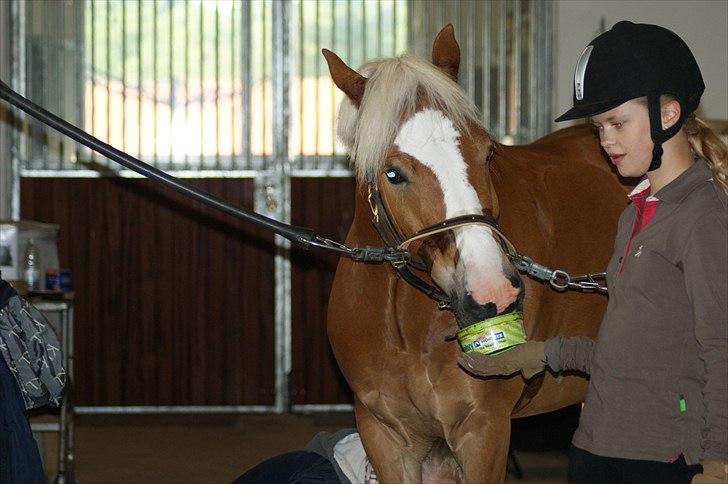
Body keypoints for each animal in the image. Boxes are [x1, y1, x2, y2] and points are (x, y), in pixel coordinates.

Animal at [322, 25, 624, 484]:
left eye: (487, 152)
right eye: (393, 173)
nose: (492, 292)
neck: (408, 325)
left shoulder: (483, 432)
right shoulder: (386, 436)